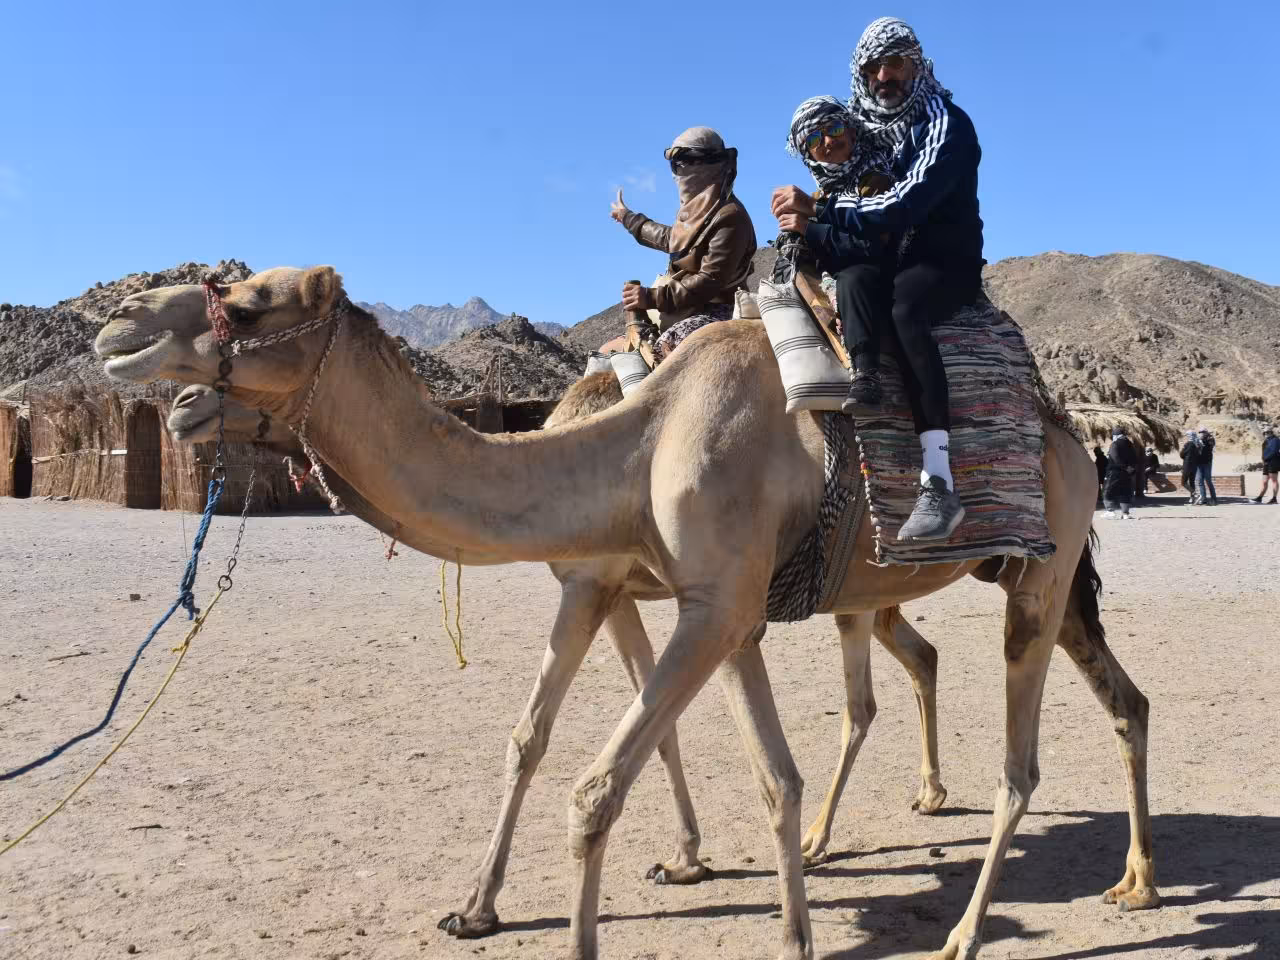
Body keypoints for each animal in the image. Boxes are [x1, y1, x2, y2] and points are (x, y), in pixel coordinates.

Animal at [168, 374, 948, 937]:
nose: (183, 403)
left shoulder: (597, 583)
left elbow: (622, 730)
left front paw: (682, 857)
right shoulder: (609, 591)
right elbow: (550, 735)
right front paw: (479, 908)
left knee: (870, 694)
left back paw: (838, 833)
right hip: (860, 597)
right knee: (916, 659)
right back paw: (919, 798)